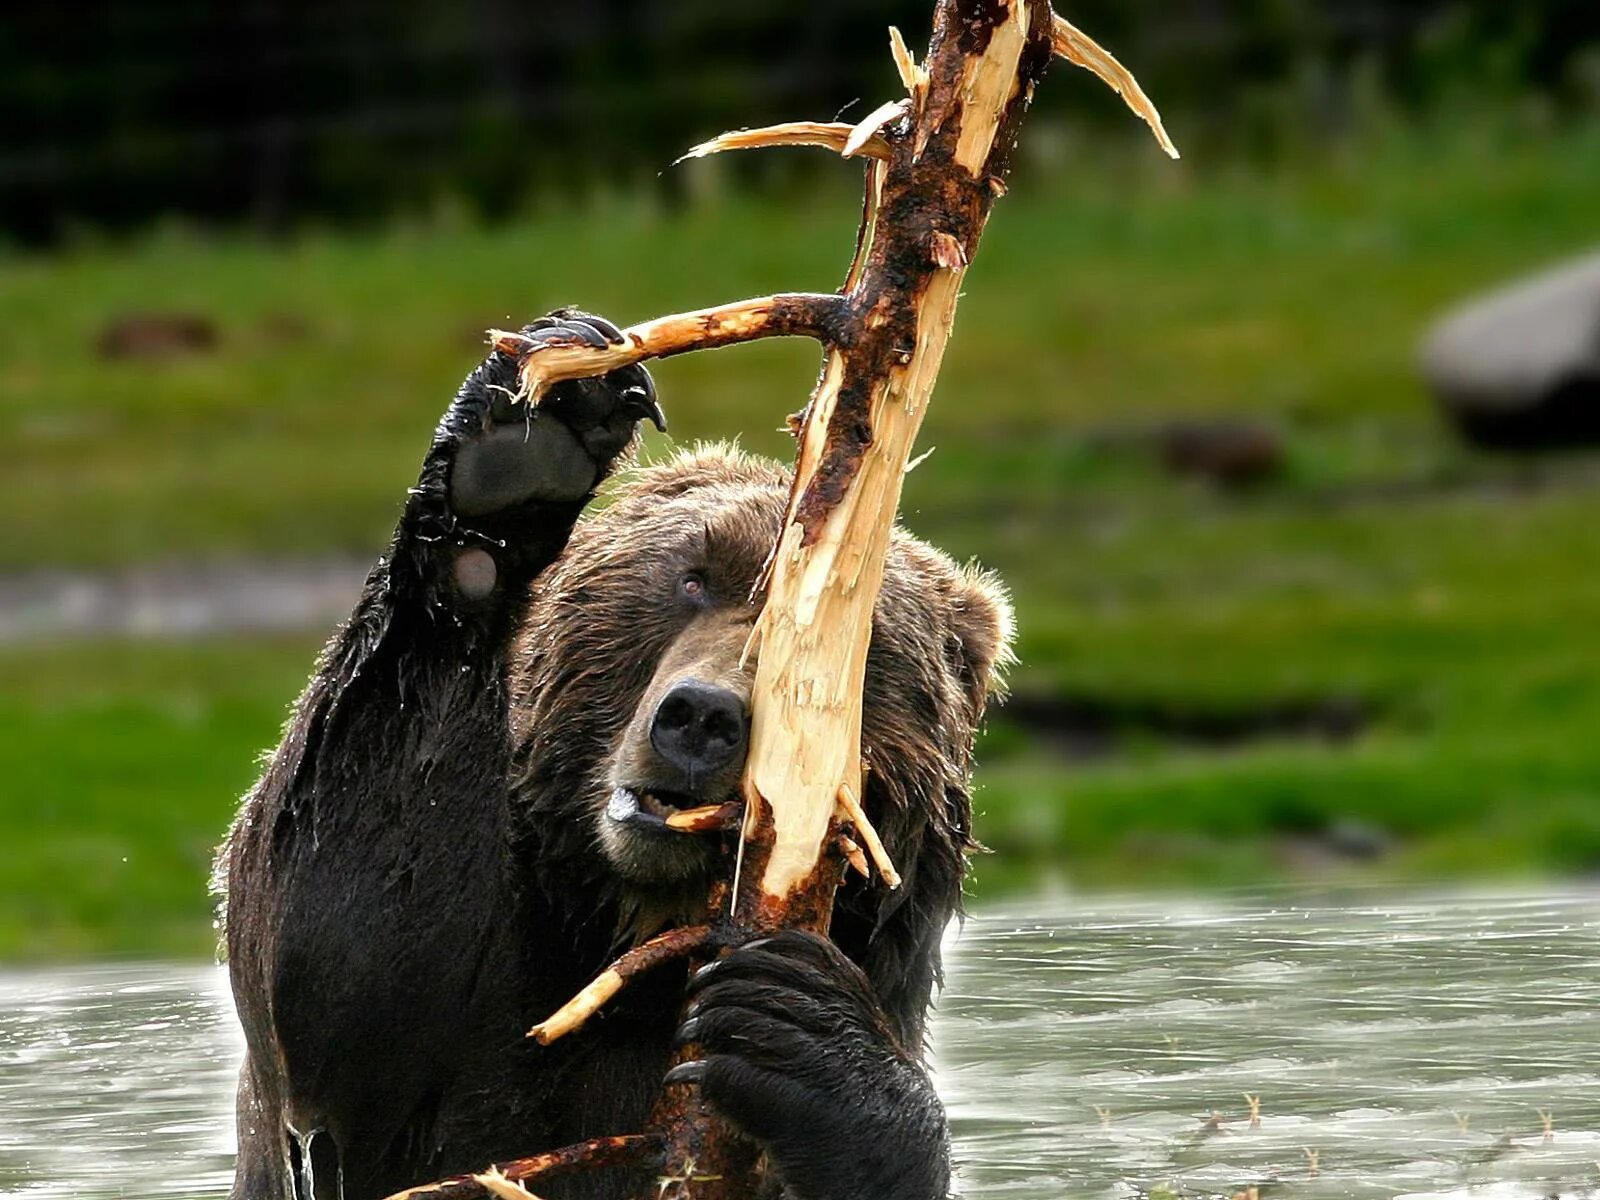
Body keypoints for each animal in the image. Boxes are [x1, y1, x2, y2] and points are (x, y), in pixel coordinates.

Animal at [219, 312, 1011, 1200]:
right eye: (693, 578)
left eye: (856, 644)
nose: (700, 717)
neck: (622, 940)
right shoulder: (457, 1028)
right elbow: (341, 963)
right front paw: (517, 459)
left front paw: (796, 1022)